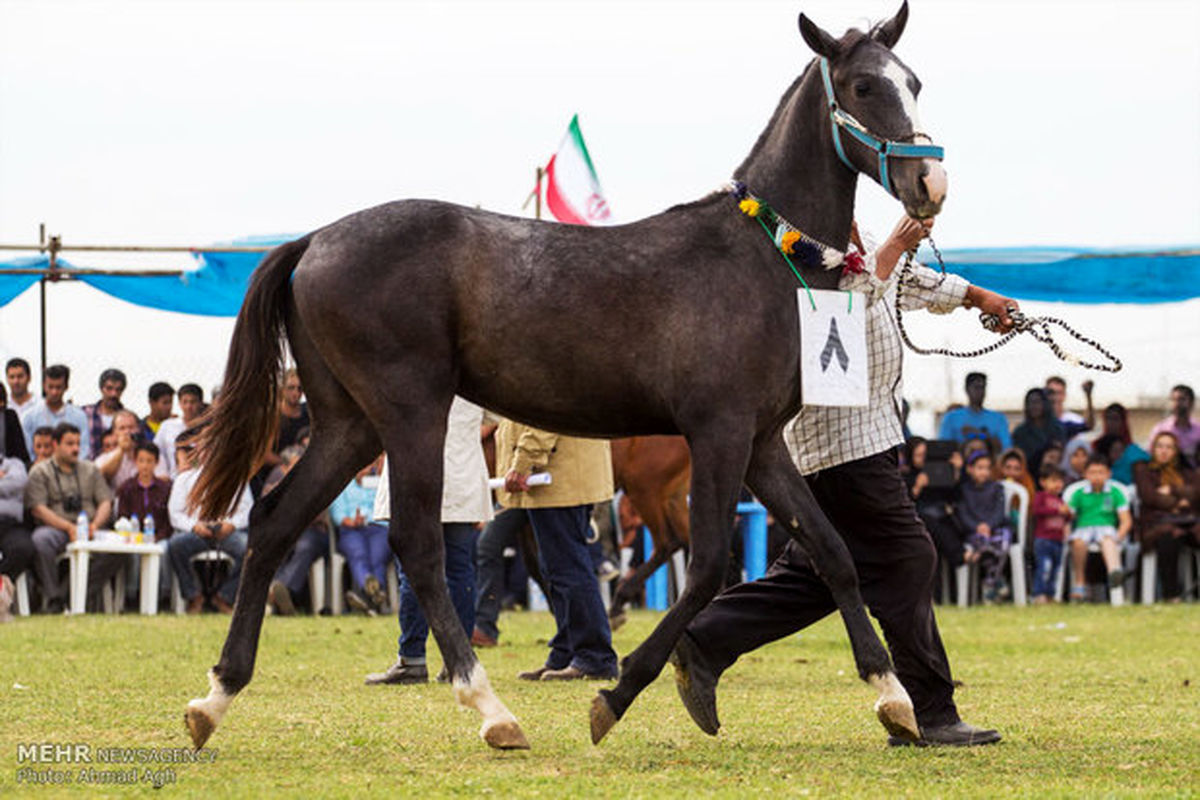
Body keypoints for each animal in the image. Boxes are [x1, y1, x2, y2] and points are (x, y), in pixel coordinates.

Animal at [182, 3, 940, 753]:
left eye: (915, 82)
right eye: (864, 86)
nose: (928, 185)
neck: (761, 252)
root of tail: (313, 241)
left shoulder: (761, 443)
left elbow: (833, 552)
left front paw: (894, 698)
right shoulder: (719, 433)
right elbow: (706, 566)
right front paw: (617, 694)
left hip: (350, 424)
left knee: (275, 521)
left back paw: (215, 695)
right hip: (410, 412)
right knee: (418, 545)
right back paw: (489, 708)